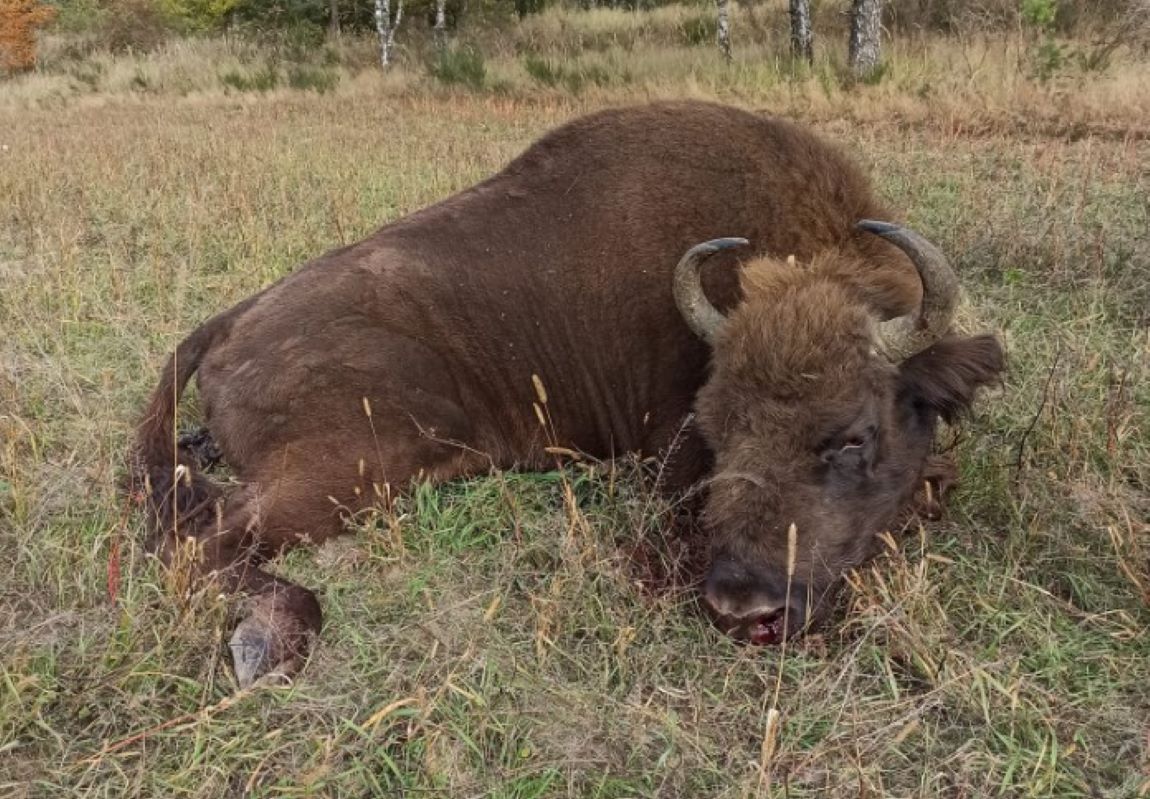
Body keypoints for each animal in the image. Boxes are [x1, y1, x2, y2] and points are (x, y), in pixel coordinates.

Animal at [130, 101, 1002, 689]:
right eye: (717, 428)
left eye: (853, 435)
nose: (741, 606)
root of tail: (235, 316)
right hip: (361, 459)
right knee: (206, 538)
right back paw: (268, 646)